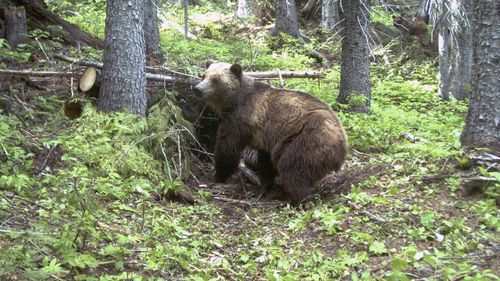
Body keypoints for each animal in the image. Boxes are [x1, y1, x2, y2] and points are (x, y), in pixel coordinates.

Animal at [192, 61, 348, 205]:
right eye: (204, 75)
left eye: (216, 79)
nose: (197, 89)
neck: (233, 101)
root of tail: (342, 147)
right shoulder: (264, 137)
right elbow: (265, 162)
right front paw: (265, 185)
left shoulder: (240, 119)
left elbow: (227, 148)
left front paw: (218, 175)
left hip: (307, 139)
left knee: (293, 169)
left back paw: (295, 198)